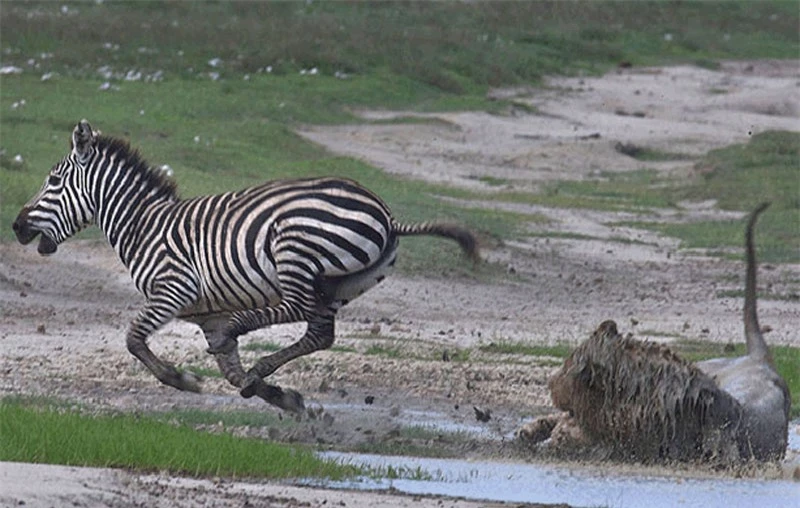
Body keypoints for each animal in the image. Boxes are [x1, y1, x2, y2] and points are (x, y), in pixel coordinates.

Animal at [12, 120, 478, 412]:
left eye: (53, 182)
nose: (16, 226)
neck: (142, 225)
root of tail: (385, 212)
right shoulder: (206, 314)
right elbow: (232, 372)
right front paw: (281, 398)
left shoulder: (174, 289)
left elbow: (134, 340)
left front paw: (183, 380)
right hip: (347, 283)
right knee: (319, 332)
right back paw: (260, 366)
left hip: (294, 247)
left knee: (296, 309)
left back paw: (244, 329)